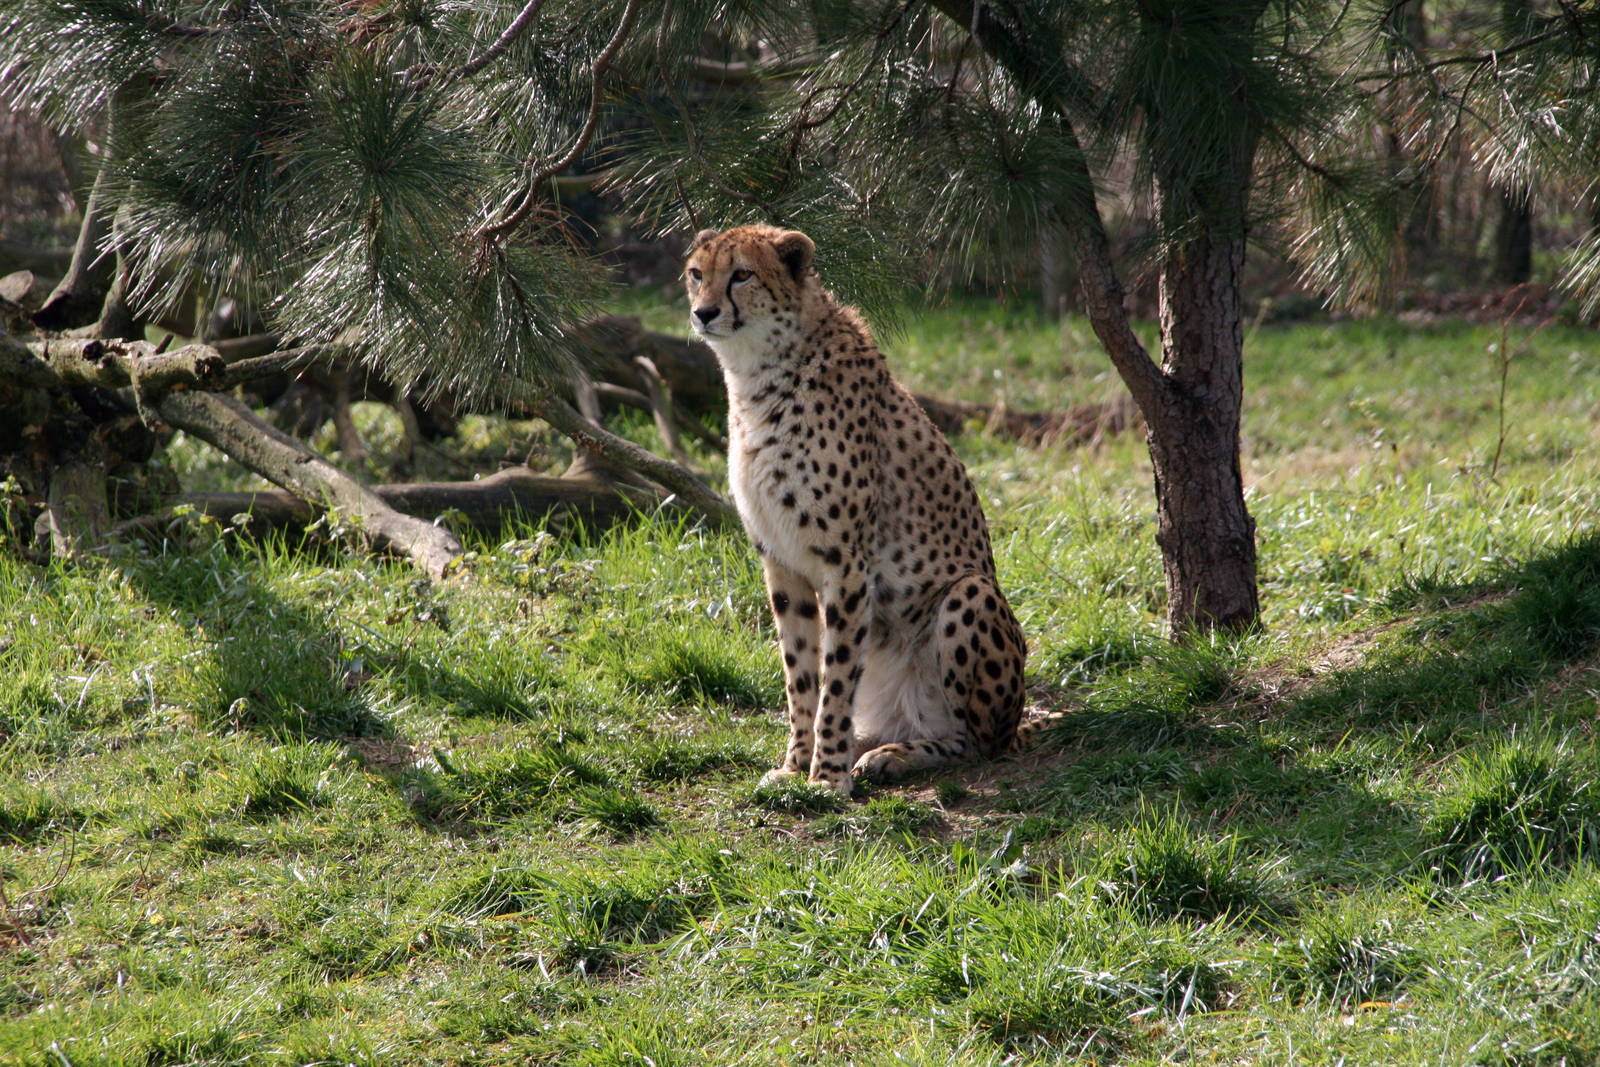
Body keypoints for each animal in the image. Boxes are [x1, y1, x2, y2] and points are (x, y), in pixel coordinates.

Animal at [684, 223, 1027, 796]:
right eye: (696, 273)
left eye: (742, 274)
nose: (704, 312)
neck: (759, 374)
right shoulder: (781, 561)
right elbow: (801, 673)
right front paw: (794, 766)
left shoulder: (845, 565)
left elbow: (838, 677)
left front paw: (826, 777)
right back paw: (877, 748)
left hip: (970, 593)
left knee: (973, 743)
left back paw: (892, 755)